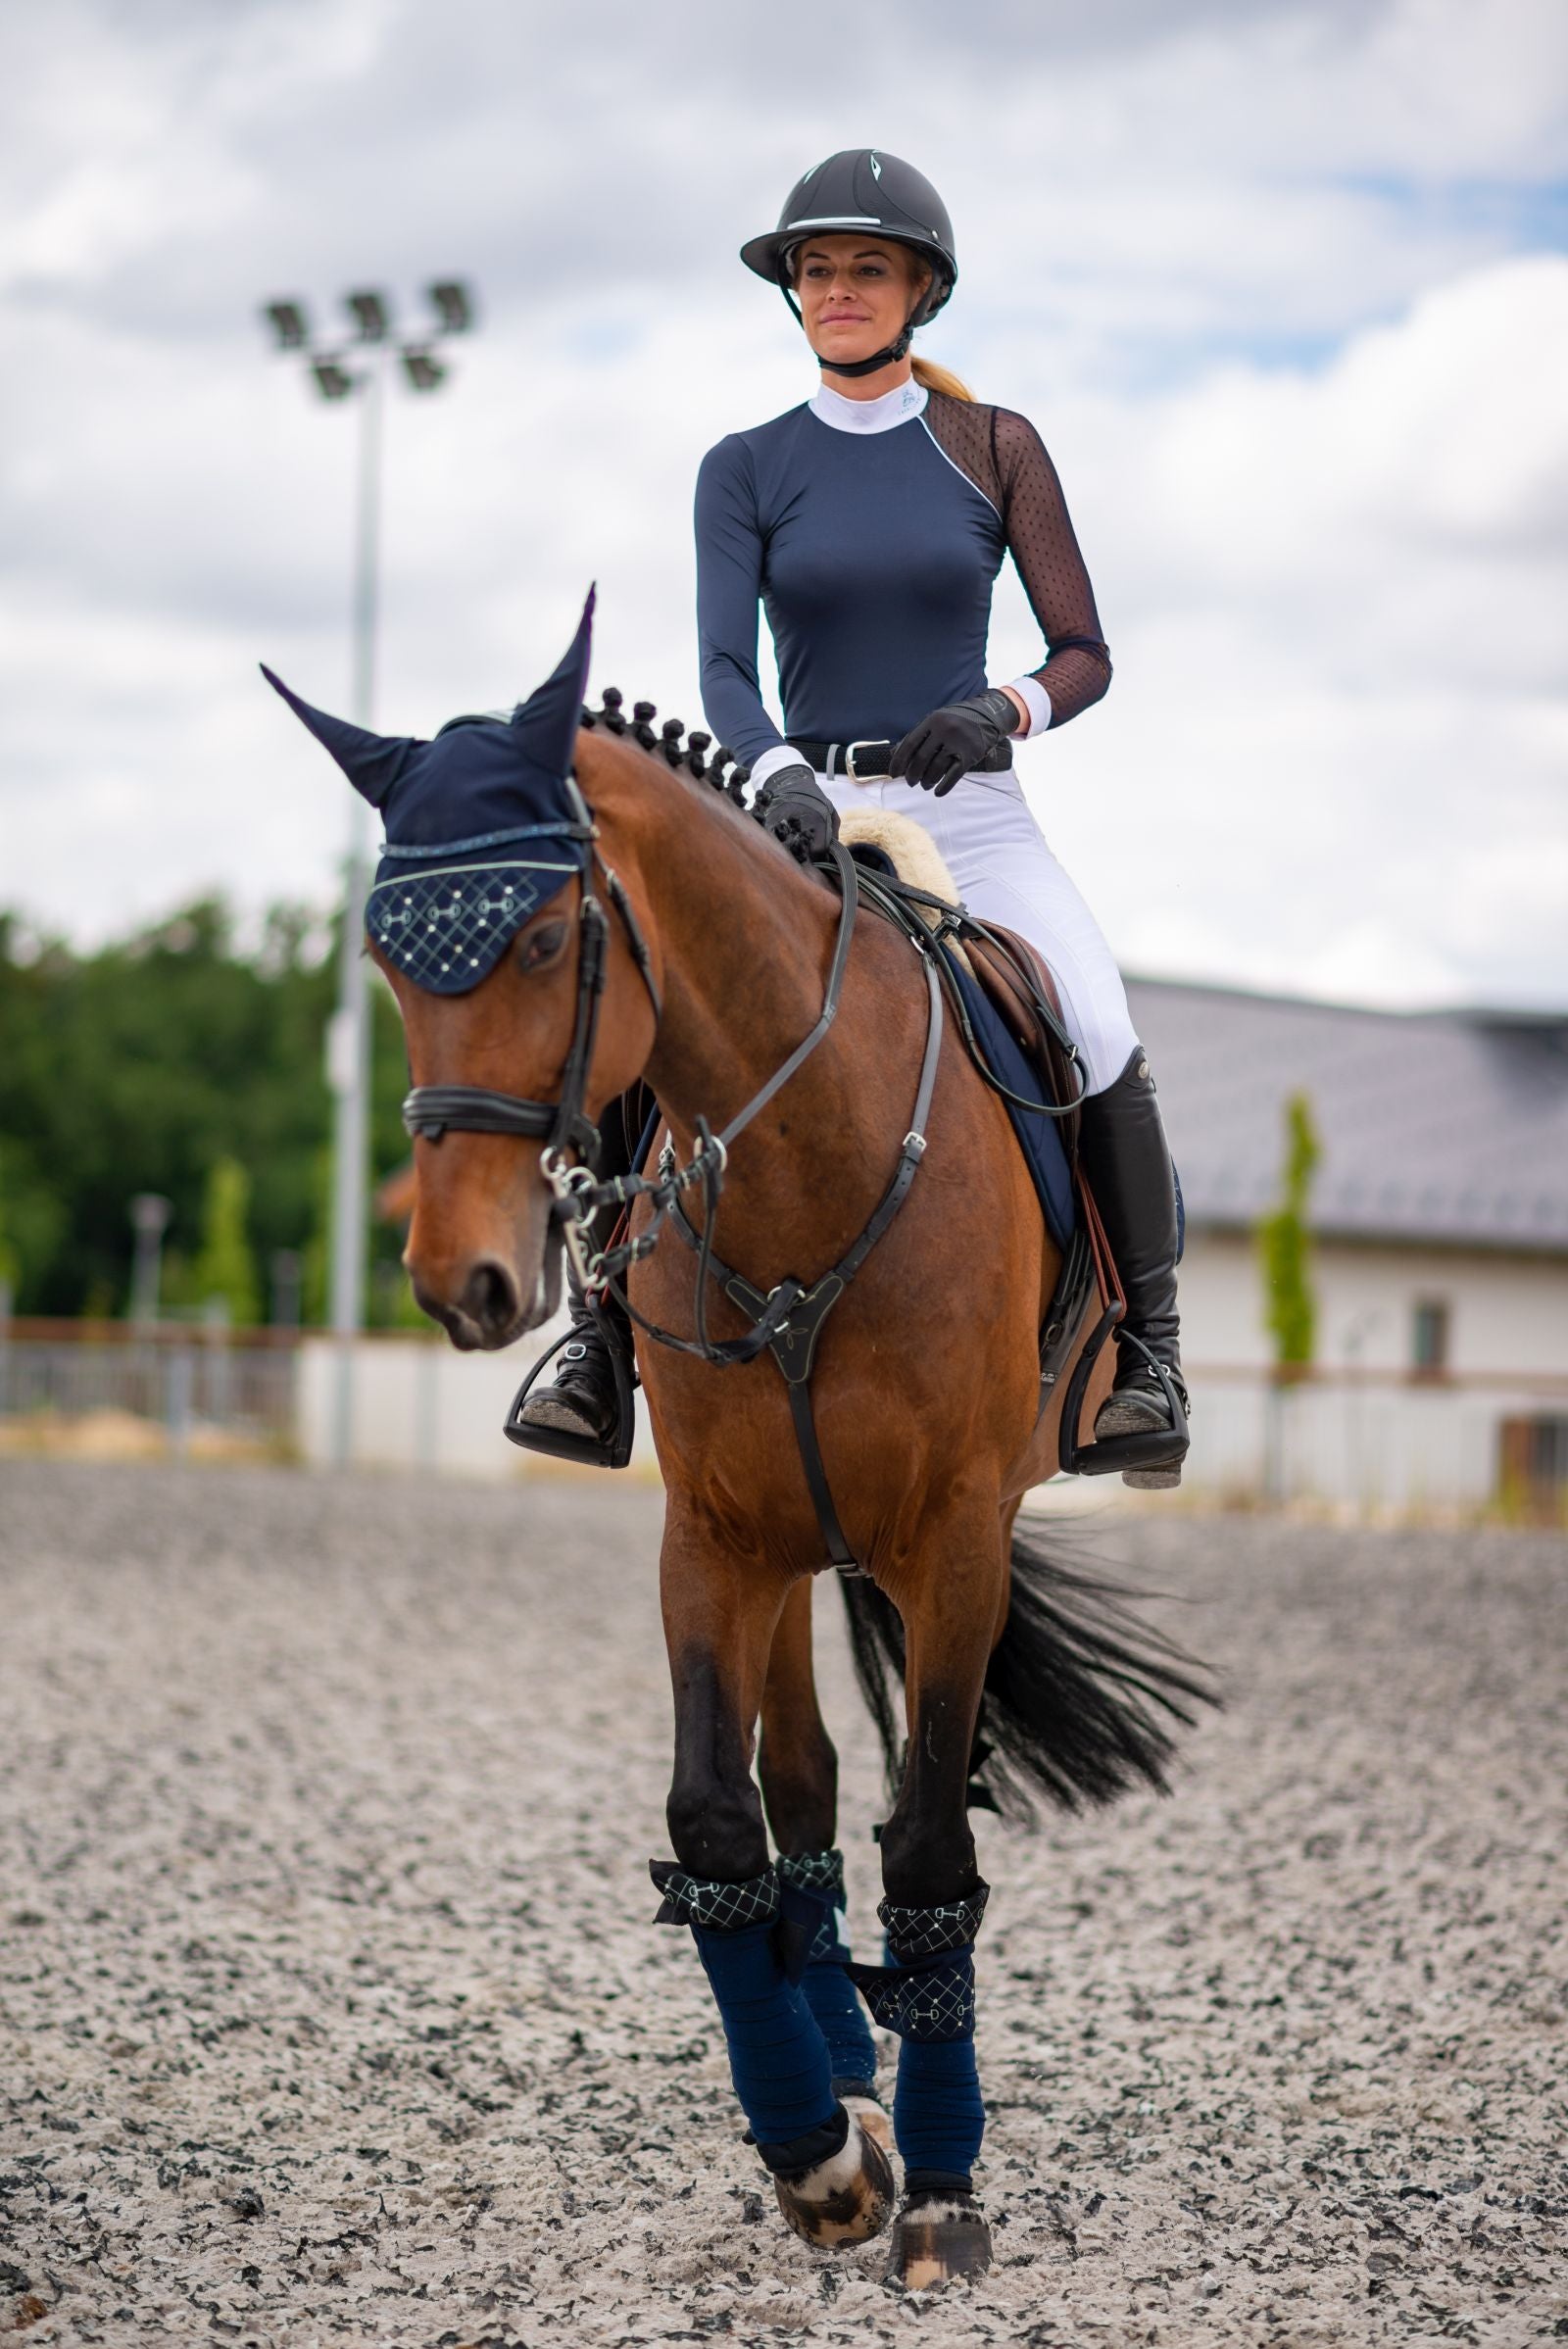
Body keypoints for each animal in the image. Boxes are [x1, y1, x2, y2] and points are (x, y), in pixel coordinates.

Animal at [266, 601, 1201, 2292]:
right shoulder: (712, 1530)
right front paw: (820, 2154)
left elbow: (929, 1846)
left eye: (552, 939)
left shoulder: (954, 1535)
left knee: (881, 1794)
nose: (460, 1277)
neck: (809, 1150)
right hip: (790, 1533)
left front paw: (941, 2191)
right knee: (809, 1780)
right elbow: (722, 1812)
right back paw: (841, 2066)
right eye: (383, 957)